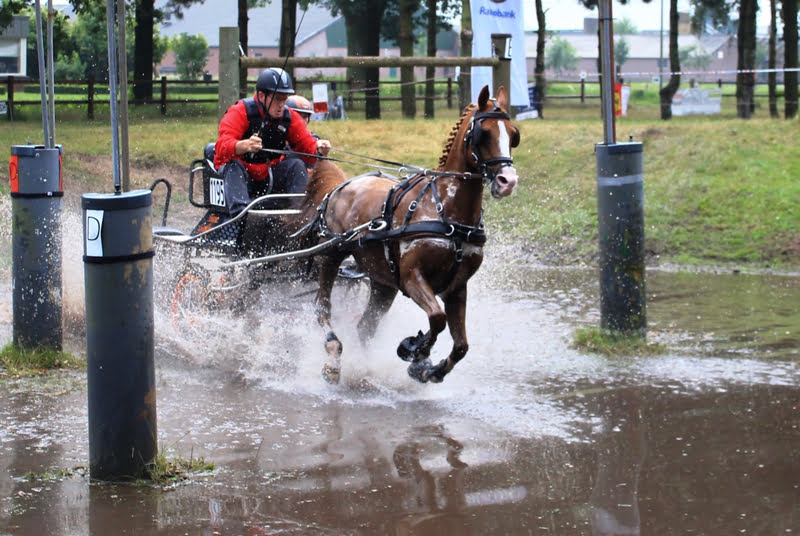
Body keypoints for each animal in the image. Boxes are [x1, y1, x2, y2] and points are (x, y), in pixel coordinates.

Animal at [294, 85, 520, 386]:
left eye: (513, 134)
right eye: (483, 133)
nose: (508, 181)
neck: (444, 210)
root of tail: (342, 185)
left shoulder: (457, 287)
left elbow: (461, 345)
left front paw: (430, 369)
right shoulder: (413, 276)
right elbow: (437, 318)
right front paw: (416, 350)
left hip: (382, 281)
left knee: (365, 327)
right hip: (332, 255)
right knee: (322, 308)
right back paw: (333, 357)